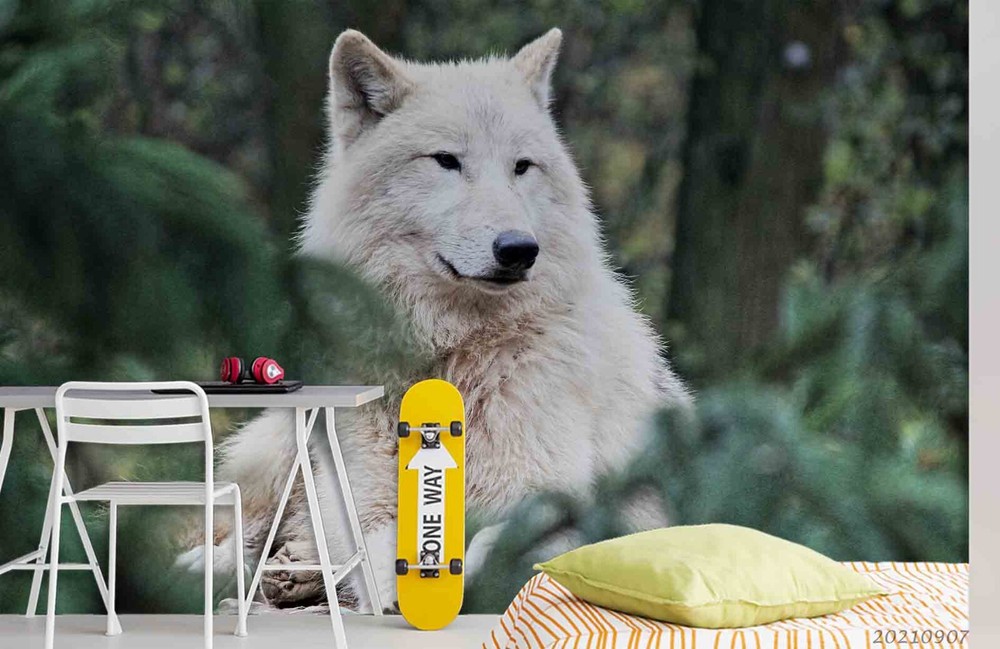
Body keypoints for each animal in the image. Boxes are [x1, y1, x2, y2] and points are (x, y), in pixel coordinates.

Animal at [179, 28, 690, 612]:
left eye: (522, 166)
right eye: (446, 160)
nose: (519, 249)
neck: (453, 349)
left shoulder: (553, 501)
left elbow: (501, 551)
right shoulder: (368, 504)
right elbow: (386, 550)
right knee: (247, 525)